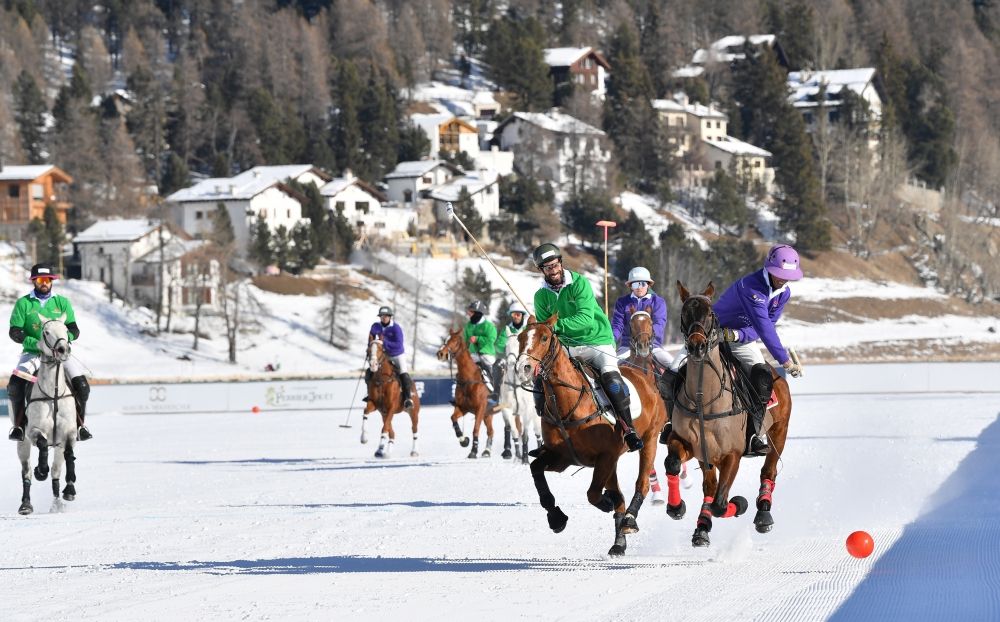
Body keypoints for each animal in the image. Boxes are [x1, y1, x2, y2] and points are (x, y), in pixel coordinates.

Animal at [15, 320, 79, 516]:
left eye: (66, 329)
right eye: (46, 332)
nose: (63, 349)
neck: (53, 393)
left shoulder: (69, 433)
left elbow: (69, 455)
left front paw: (70, 490)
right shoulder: (33, 431)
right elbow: (42, 445)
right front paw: (41, 471)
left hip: (57, 445)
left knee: (57, 471)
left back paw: (57, 503)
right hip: (22, 443)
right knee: (26, 472)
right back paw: (25, 505)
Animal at [436, 330, 494, 460]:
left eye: (455, 341)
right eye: (445, 340)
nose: (440, 354)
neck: (468, 379)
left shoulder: (480, 408)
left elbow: (475, 429)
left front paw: (473, 451)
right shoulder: (464, 407)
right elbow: (453, 418)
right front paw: (463, 440)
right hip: (488, 414)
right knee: (491, 431)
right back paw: (487, 451)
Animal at [512, 314, 668, 560]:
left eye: (545, 337)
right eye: (520, 337)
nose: (524, 368)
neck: (567, 405)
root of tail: (644, 377)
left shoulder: (605, 456)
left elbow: (594, 493)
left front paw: (607, 503)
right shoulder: (562, 458)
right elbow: (536, 469)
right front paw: (556, 518)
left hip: (649, 439)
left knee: (641, 484)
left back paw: (629, 520)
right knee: (619, 494)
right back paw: (618, 544)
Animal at [660, 286, 792, 548]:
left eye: (710, 313)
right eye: (684, 313)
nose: (697, 347)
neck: (704, 400)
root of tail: (776, 374)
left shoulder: (733, 455)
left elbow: (722, 504)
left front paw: (740, 504)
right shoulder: (691, 444)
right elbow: (673, 464)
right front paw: (676, 508)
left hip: (779, 433)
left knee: (768, 471)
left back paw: (763, 513)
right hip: (707, 456)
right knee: (709, 487)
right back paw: (701, 528)